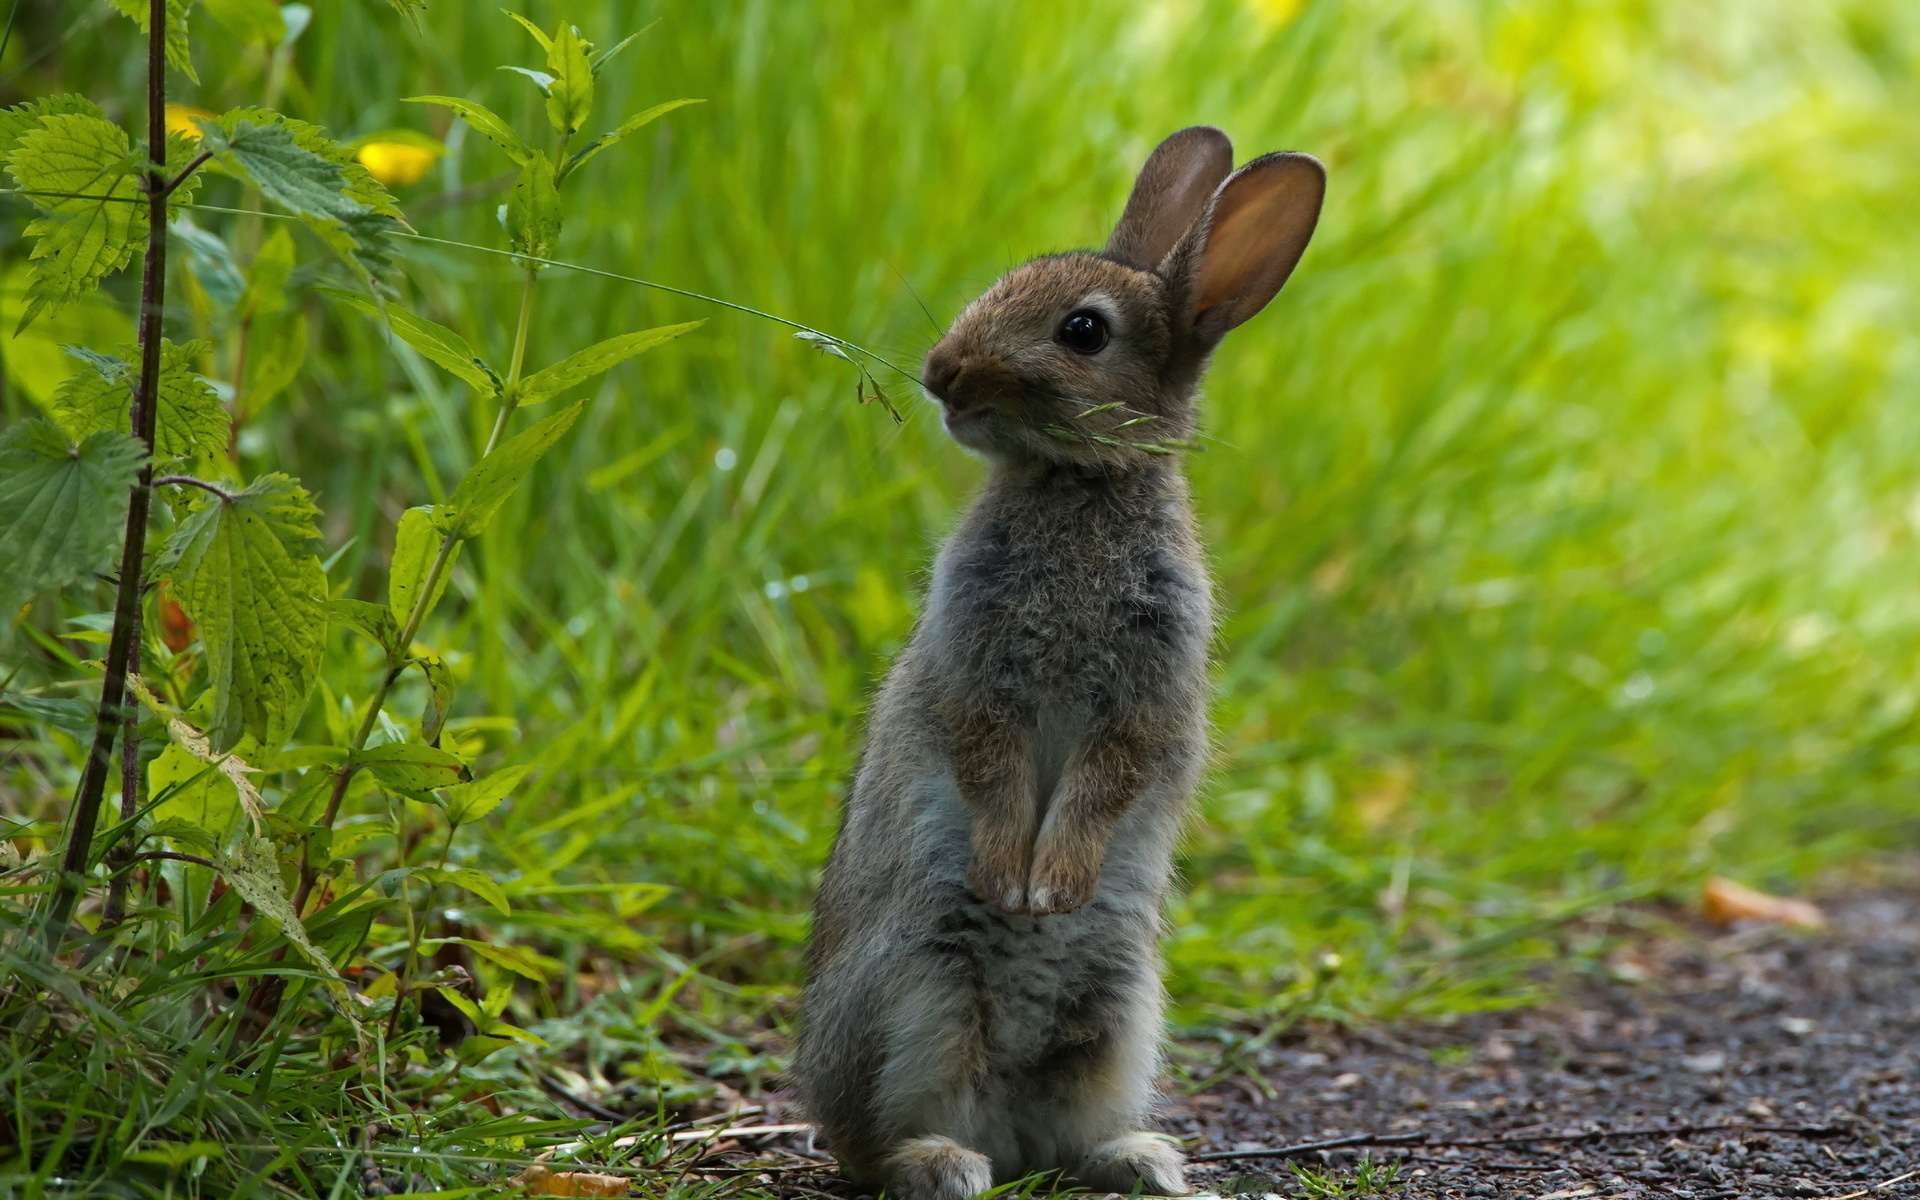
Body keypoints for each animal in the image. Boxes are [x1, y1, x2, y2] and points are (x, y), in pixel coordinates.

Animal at [791, 123, 1320, 1198]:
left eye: (1083, 332)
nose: (942, 373)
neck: (1079, 484)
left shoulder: (1145, 701)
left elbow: (1106, 779)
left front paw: (1054, 890)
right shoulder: (977, 674)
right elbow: (989, 762)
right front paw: (1013, 884)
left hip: (1118, 1014)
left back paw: (1140, 1159)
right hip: (921, 988)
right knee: (874, 1144)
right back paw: (946, 1163)